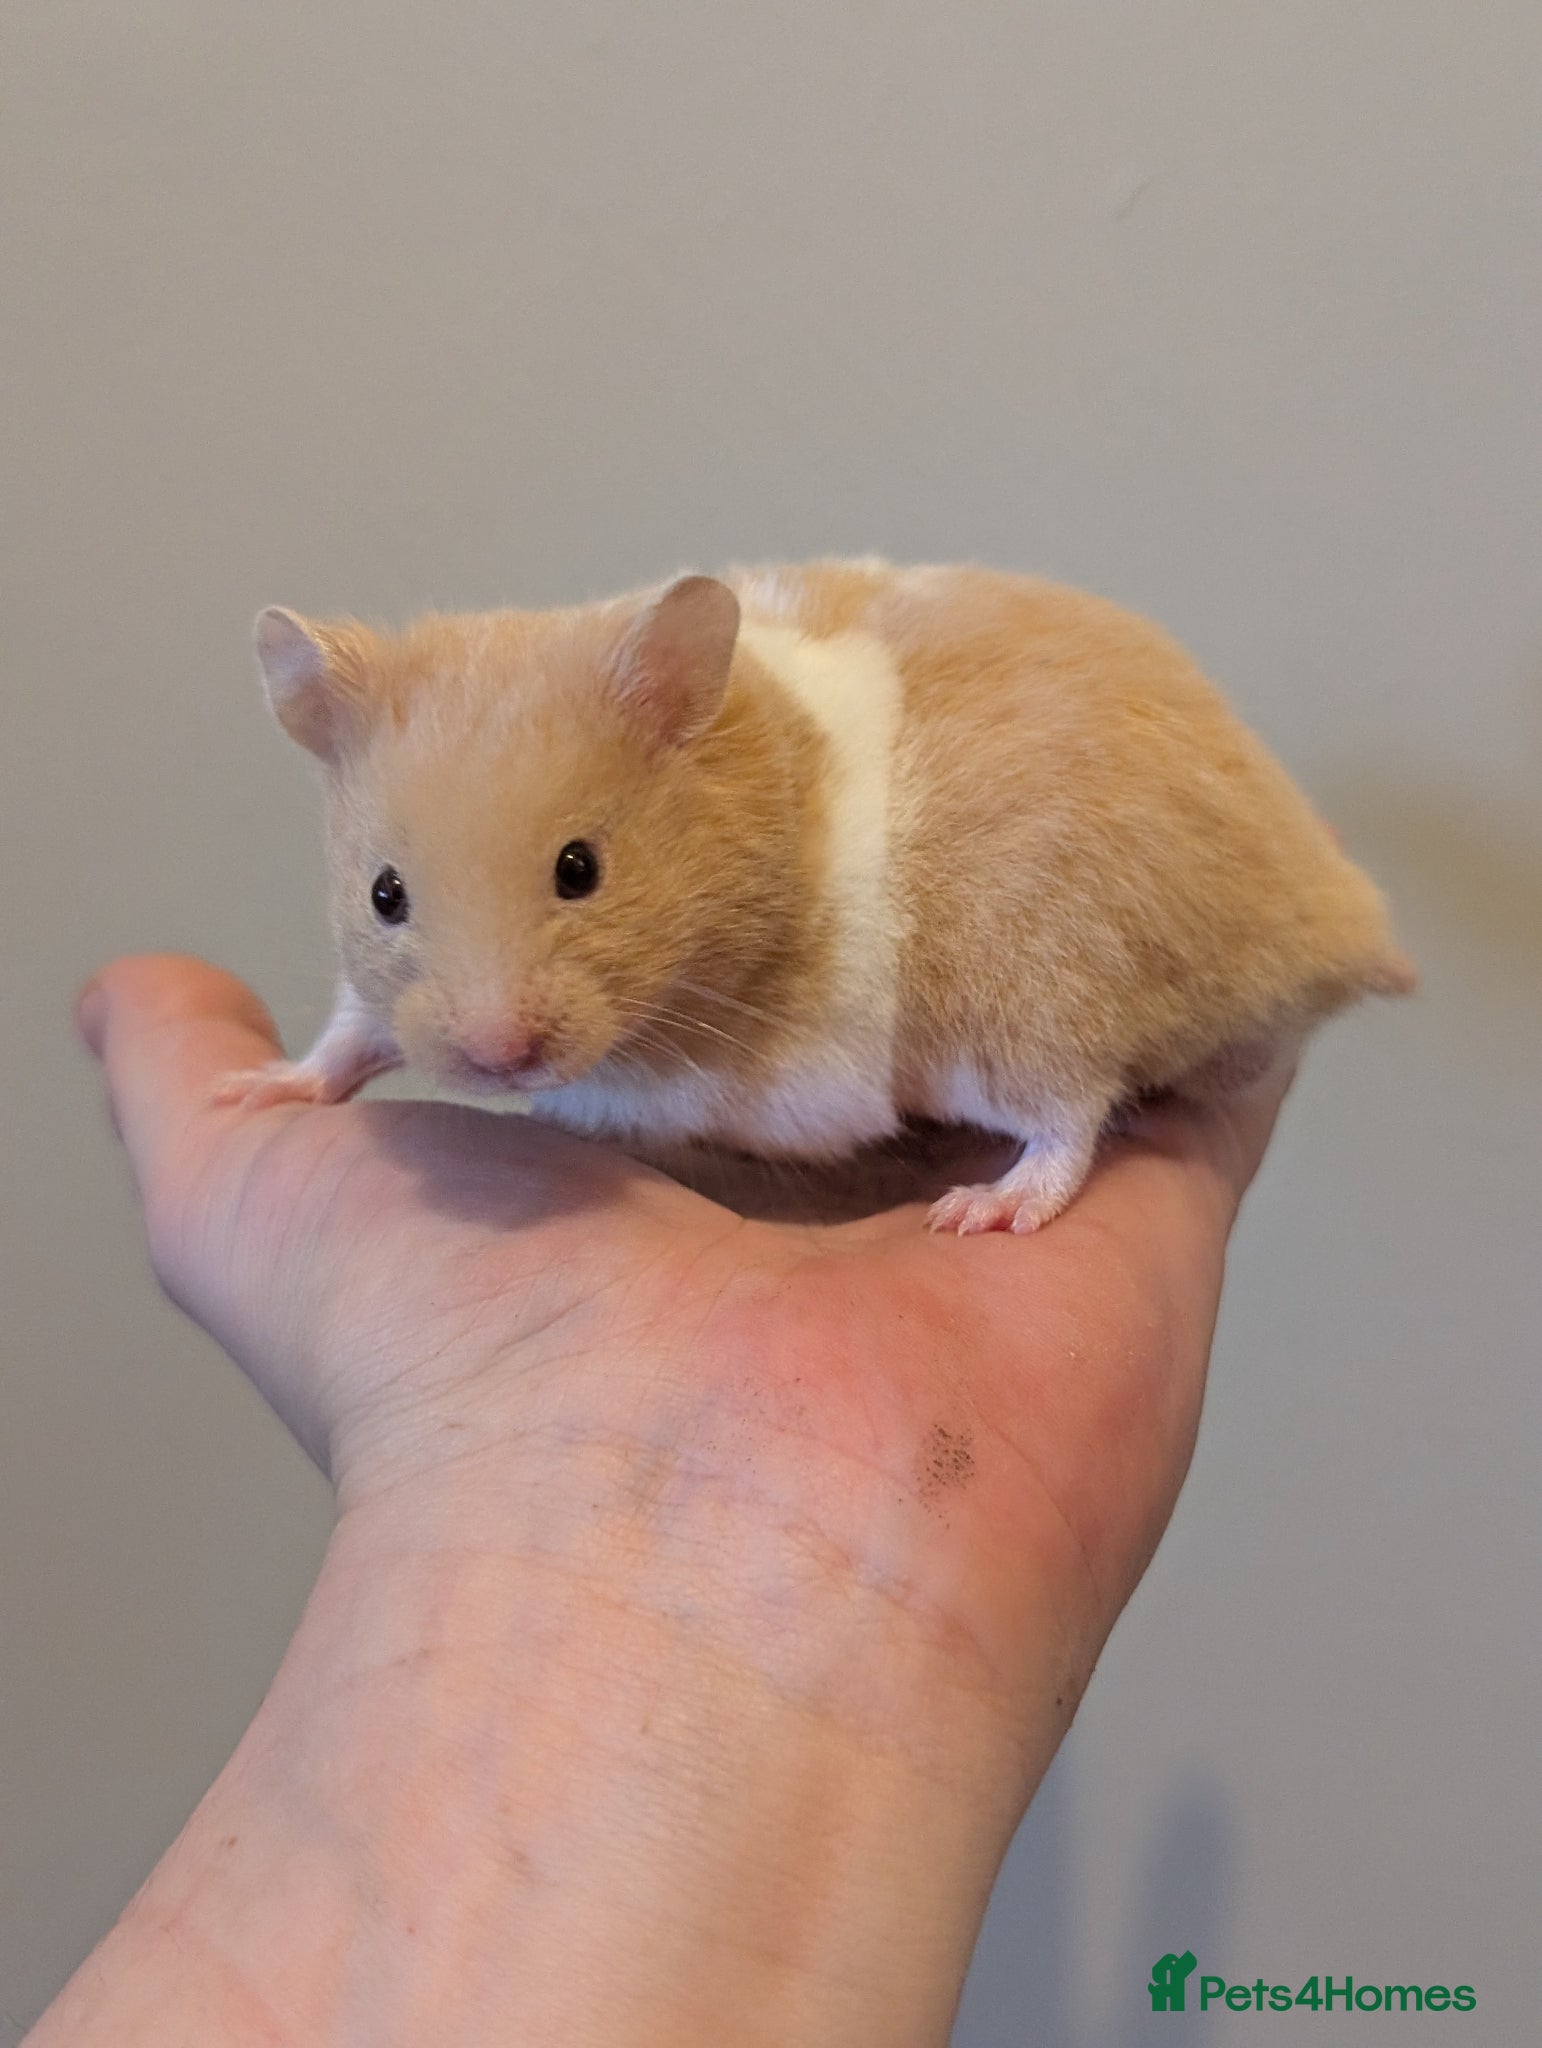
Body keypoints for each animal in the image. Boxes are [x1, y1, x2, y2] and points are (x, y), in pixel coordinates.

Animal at [216, 559, 1414, 1234]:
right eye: (385, 893)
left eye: (580, 869)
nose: (498, 1057)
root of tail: (1339, 913)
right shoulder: (380, 998)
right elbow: (348, 1033)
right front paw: (253, 1089)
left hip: (1019, 994)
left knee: (1069, 1120)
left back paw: (984, 1212)